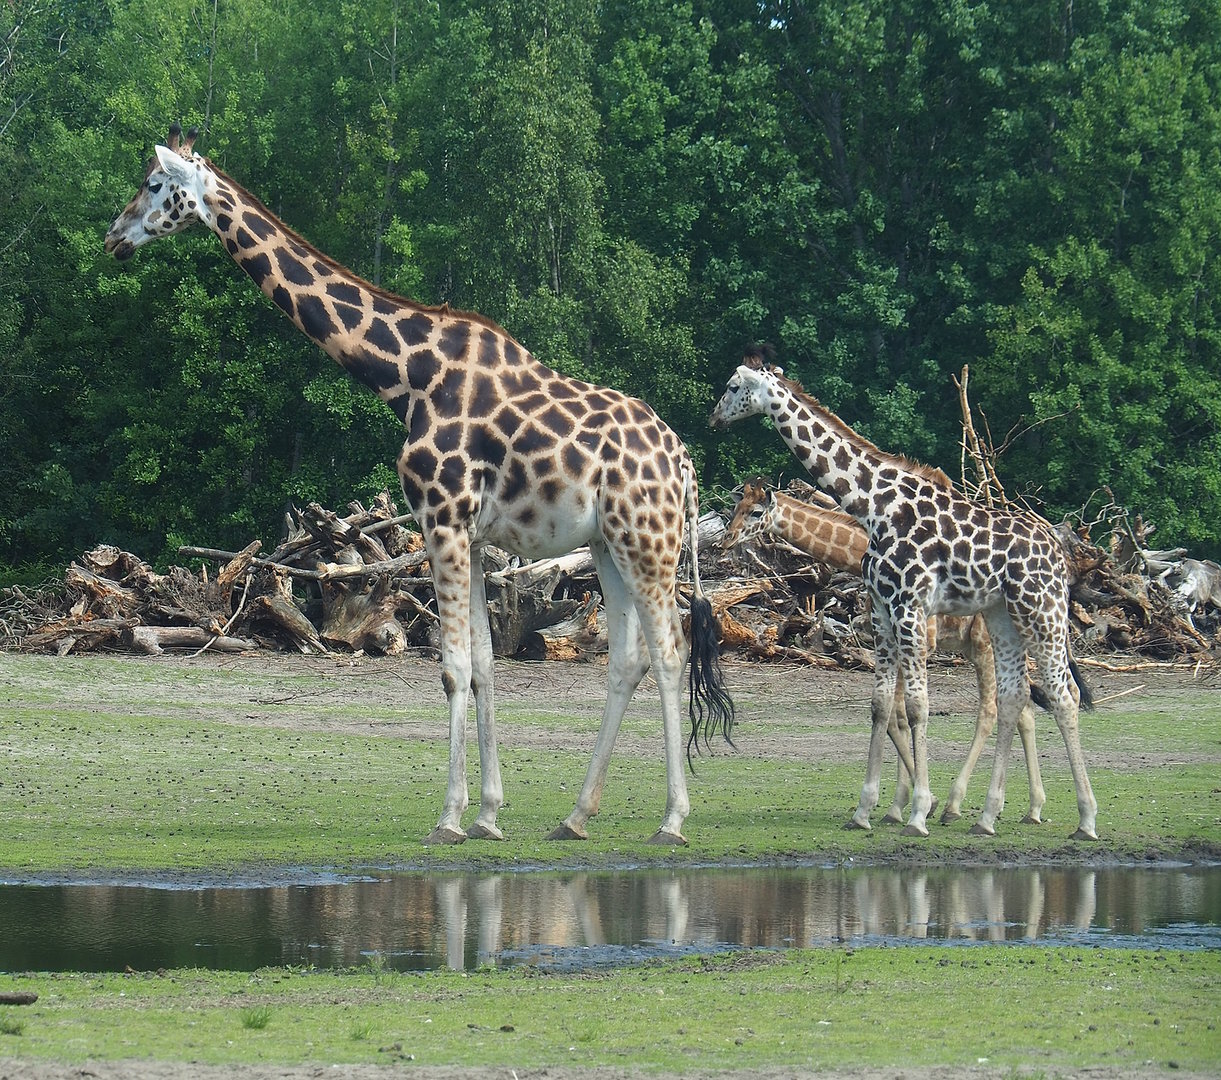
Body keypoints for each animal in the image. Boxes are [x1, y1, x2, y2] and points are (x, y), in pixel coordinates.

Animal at [104, 124, 734, 846]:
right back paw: (575, 816)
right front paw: (488, 813)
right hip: (608, 543)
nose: (115, 235)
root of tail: (683, 463)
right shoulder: (471, 532)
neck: (405, 378)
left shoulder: (441, 516)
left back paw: (672, 820)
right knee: (628, 658)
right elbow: (483, 665)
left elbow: (452, 667)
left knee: (670, 651)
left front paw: (450, 818)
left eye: (155, 184)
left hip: (646, 540)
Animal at [722, 479, 1047, 826]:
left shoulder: (919, 641)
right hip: (983, 649)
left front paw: (923, 802)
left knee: (990, 710)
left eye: (756, 512)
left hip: (984, 645)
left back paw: (955, 805)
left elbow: (898, 714)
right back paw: (1031, 808)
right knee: (1025, 707)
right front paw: (897, 806)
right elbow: (896, 717)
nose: (727, 539)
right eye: (735, 508)